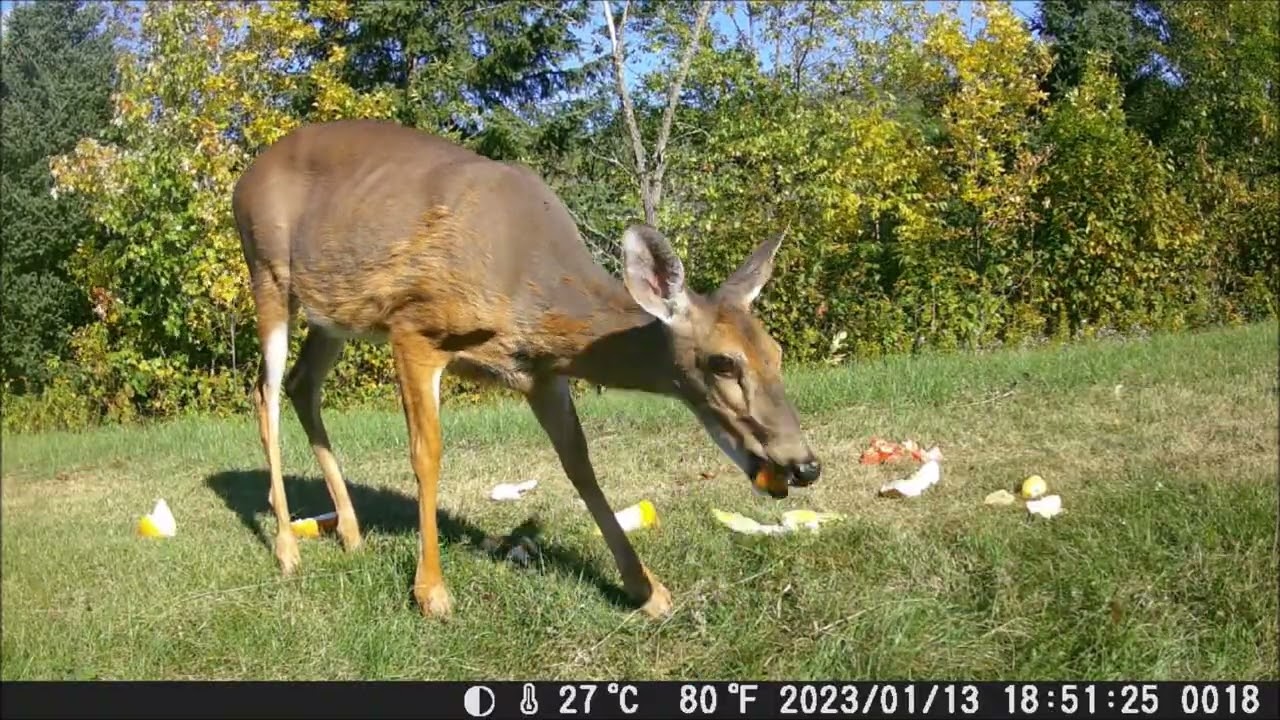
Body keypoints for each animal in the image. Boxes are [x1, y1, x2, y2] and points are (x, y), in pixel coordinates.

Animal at [230, 119, 822, 620]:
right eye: (723, 362)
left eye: (776, 354)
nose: (804, 465)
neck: (527, 285)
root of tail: (244, 178)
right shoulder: (414, 328)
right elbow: (427, 455)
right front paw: (432, 593)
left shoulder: (540, 373)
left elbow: (580, 462)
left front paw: (647, 589)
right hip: (267, 270)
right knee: (266, 392)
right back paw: (286, 549)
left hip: (334, 315)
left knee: (303, 385)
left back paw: (351, 534)